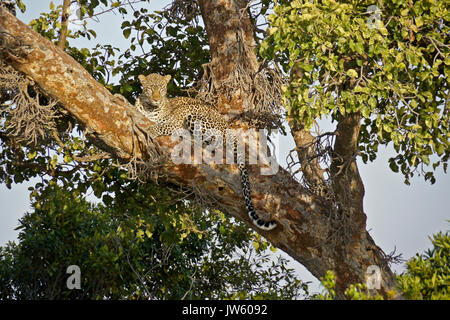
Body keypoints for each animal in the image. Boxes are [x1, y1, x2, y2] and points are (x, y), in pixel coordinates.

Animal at [136, 73, 278, 230]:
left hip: (196, 117)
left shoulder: (175, 123)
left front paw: (150, 129)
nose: (156, 99)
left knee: (214, 144)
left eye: (161, 89)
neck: (149, 109)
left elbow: (161, 126)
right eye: (150, 88)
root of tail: (228, 127)